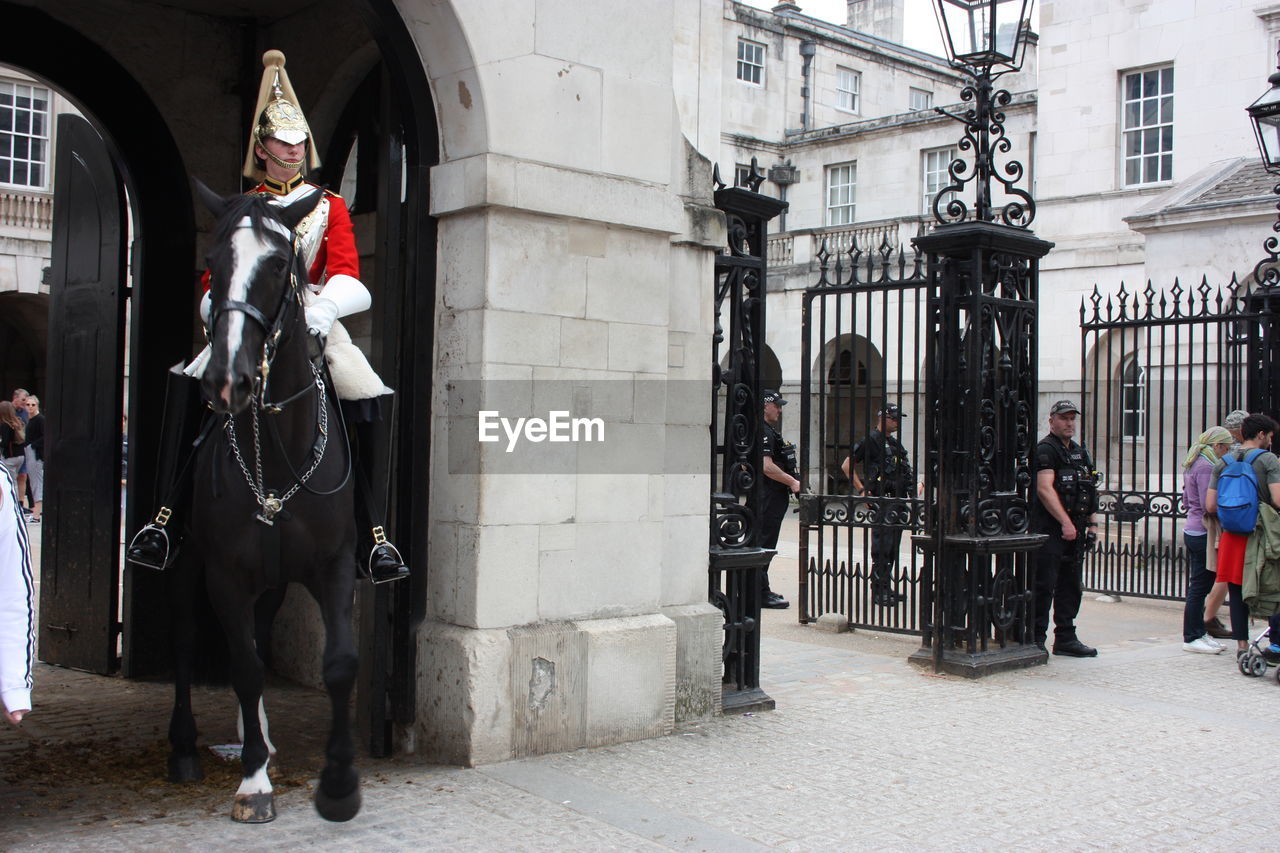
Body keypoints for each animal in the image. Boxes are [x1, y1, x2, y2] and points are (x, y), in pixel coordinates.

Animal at [166, 183, 360, 819]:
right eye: (213, 262)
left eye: (278, 265)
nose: (229, 382)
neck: (276, 452)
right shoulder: (224, 571)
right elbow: (245, 668)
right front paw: (253, 782)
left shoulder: (334, 564)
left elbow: (339, 664)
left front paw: (340, 785)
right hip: (187, 562)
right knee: (187, 637)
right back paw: (187, 749)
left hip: (273, 577)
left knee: (256, 628)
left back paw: (265, 740)